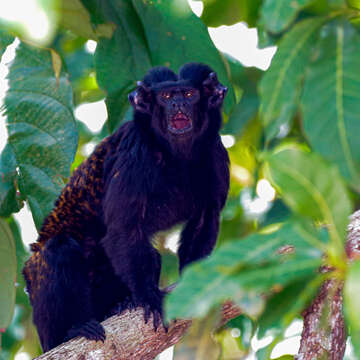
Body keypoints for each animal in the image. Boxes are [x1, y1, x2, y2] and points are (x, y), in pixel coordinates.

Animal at [23, 62, 231, 352]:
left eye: (189, 94)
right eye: (167, 96)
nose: (177, 104)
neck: (177, 154)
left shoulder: (216, 154)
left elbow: (205, 218)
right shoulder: (136, 153)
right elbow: (124, 227)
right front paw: (148, 297)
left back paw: (120, 305)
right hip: (37, 291)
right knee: (58, 250)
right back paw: (72, 329)